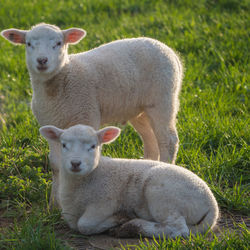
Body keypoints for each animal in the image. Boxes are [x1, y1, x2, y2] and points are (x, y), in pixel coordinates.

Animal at [0, 23, 183, 207]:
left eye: (58, 43)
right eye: (29, 44)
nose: (42, 60)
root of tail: (169, 50)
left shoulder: (86, 115)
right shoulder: (51, 124)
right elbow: (55, 164)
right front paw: (54, 203)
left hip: (163, 99)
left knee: (168, 141)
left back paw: (166, 167)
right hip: (139, 109)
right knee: (150, 140)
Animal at [39, 124, 219, 239]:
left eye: (93, 146)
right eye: (63, 145)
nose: (75, 163)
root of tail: (212, 205)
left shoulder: (104, 203)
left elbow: (84, 225)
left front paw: (118, 219)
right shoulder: (69, 211)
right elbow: (73, 223)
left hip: (163, 195)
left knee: (178, 230)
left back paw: (131, 226)